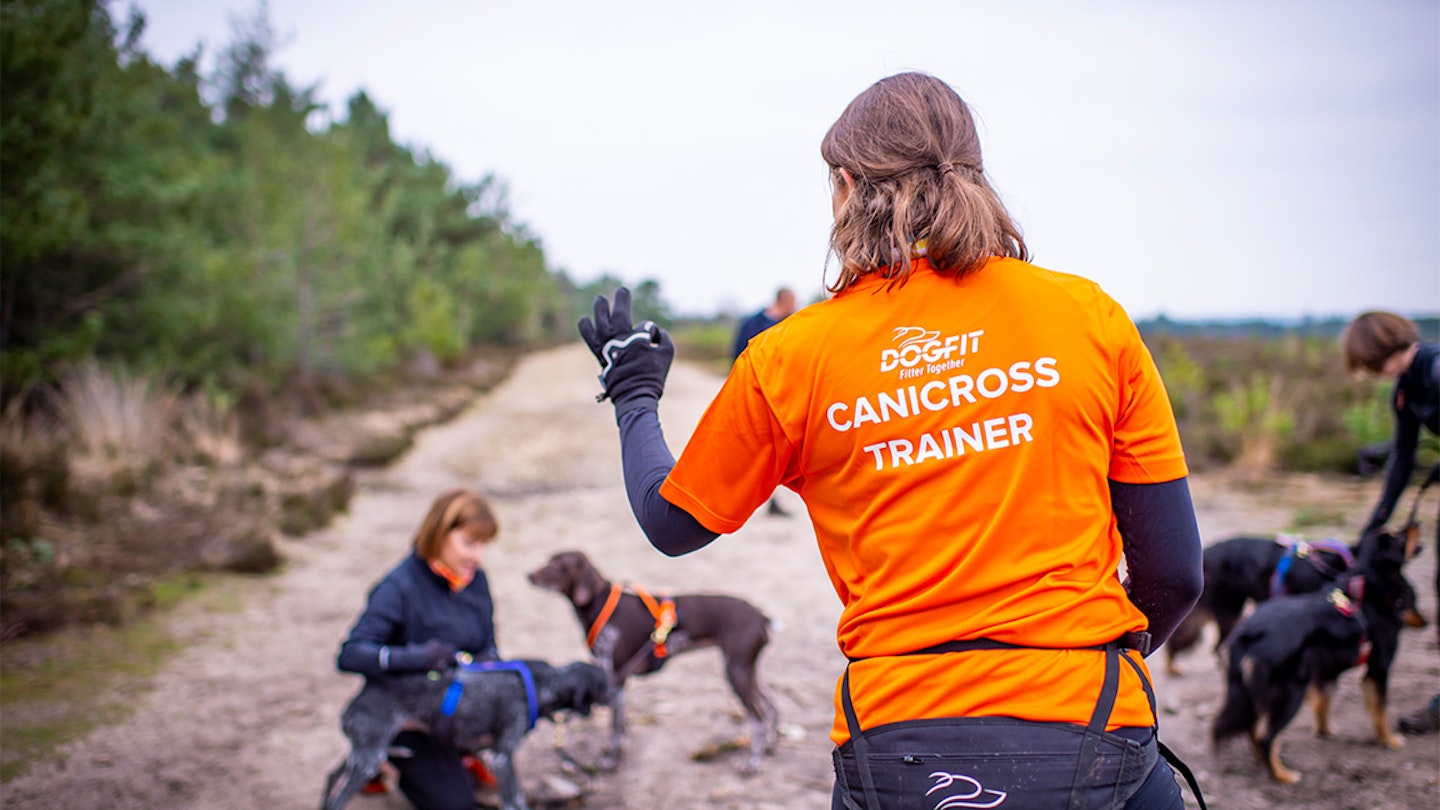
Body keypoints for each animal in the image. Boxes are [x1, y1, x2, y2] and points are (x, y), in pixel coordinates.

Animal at [318, 657, 604, 807]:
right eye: (605, 684)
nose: (613, 692)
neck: (544, 684)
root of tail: (353, 703)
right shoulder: (501, 758)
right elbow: (513, 800)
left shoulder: (500, 757)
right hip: (368, 760)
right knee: (338, 798)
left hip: (366, 754)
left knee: (332, 778)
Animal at [527, 547, 777, 766]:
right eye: (549, 559)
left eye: (558, 564)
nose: (529, 575)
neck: (599, 604)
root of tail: (760, 616)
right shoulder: (618, 682)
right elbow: (621, 723)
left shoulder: (615, 678)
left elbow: (615, 726)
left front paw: (611, 759)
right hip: (747, 671)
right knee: (772, 707)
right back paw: (770, 746)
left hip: (736, 672)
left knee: (758, 719)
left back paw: (753, 761)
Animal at [1209, 527, 1422, 778]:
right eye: (1400, 537)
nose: (1415, 523)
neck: (1367, 586)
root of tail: (1251, 632)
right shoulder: (1379, 668)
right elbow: (1380, 710)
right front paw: (1389, 740)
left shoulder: (1327, 671)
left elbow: (1323, 703)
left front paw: (1325, 730)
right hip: (1290, 692)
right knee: (1266, 737)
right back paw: (1283, 776)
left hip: (1253, 691)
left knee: (1252, 727)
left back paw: (1263, 761)